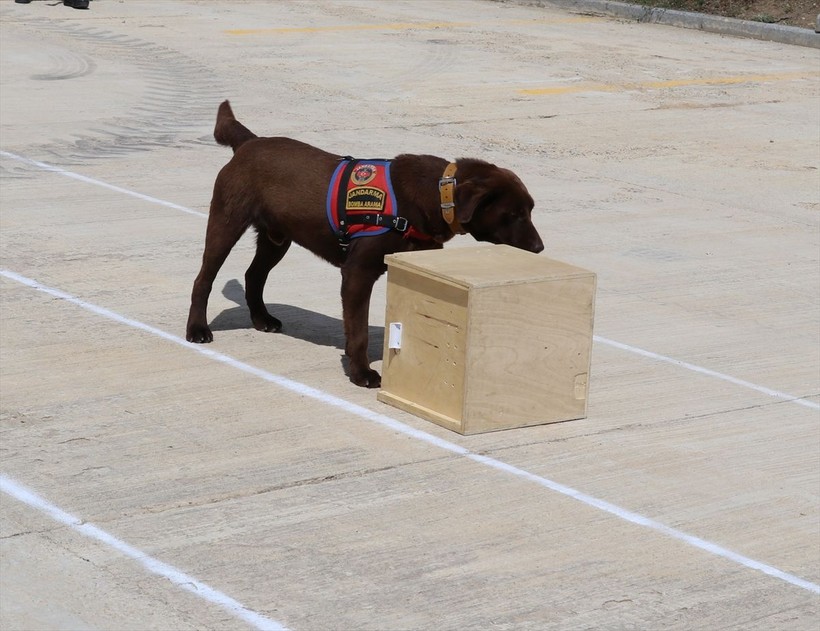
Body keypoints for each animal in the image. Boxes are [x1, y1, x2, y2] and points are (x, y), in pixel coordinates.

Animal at [186, 101, 544, 388]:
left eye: (530, 210)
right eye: (514, 214)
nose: (540, 248)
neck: (434, 195)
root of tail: (249, 142)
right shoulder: (357, 273)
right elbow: (357, 331)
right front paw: (361, 373)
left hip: (277, 237)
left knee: (254, 275)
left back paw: (262, 320)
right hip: (226, 222)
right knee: (203, 279)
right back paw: (198, 329)